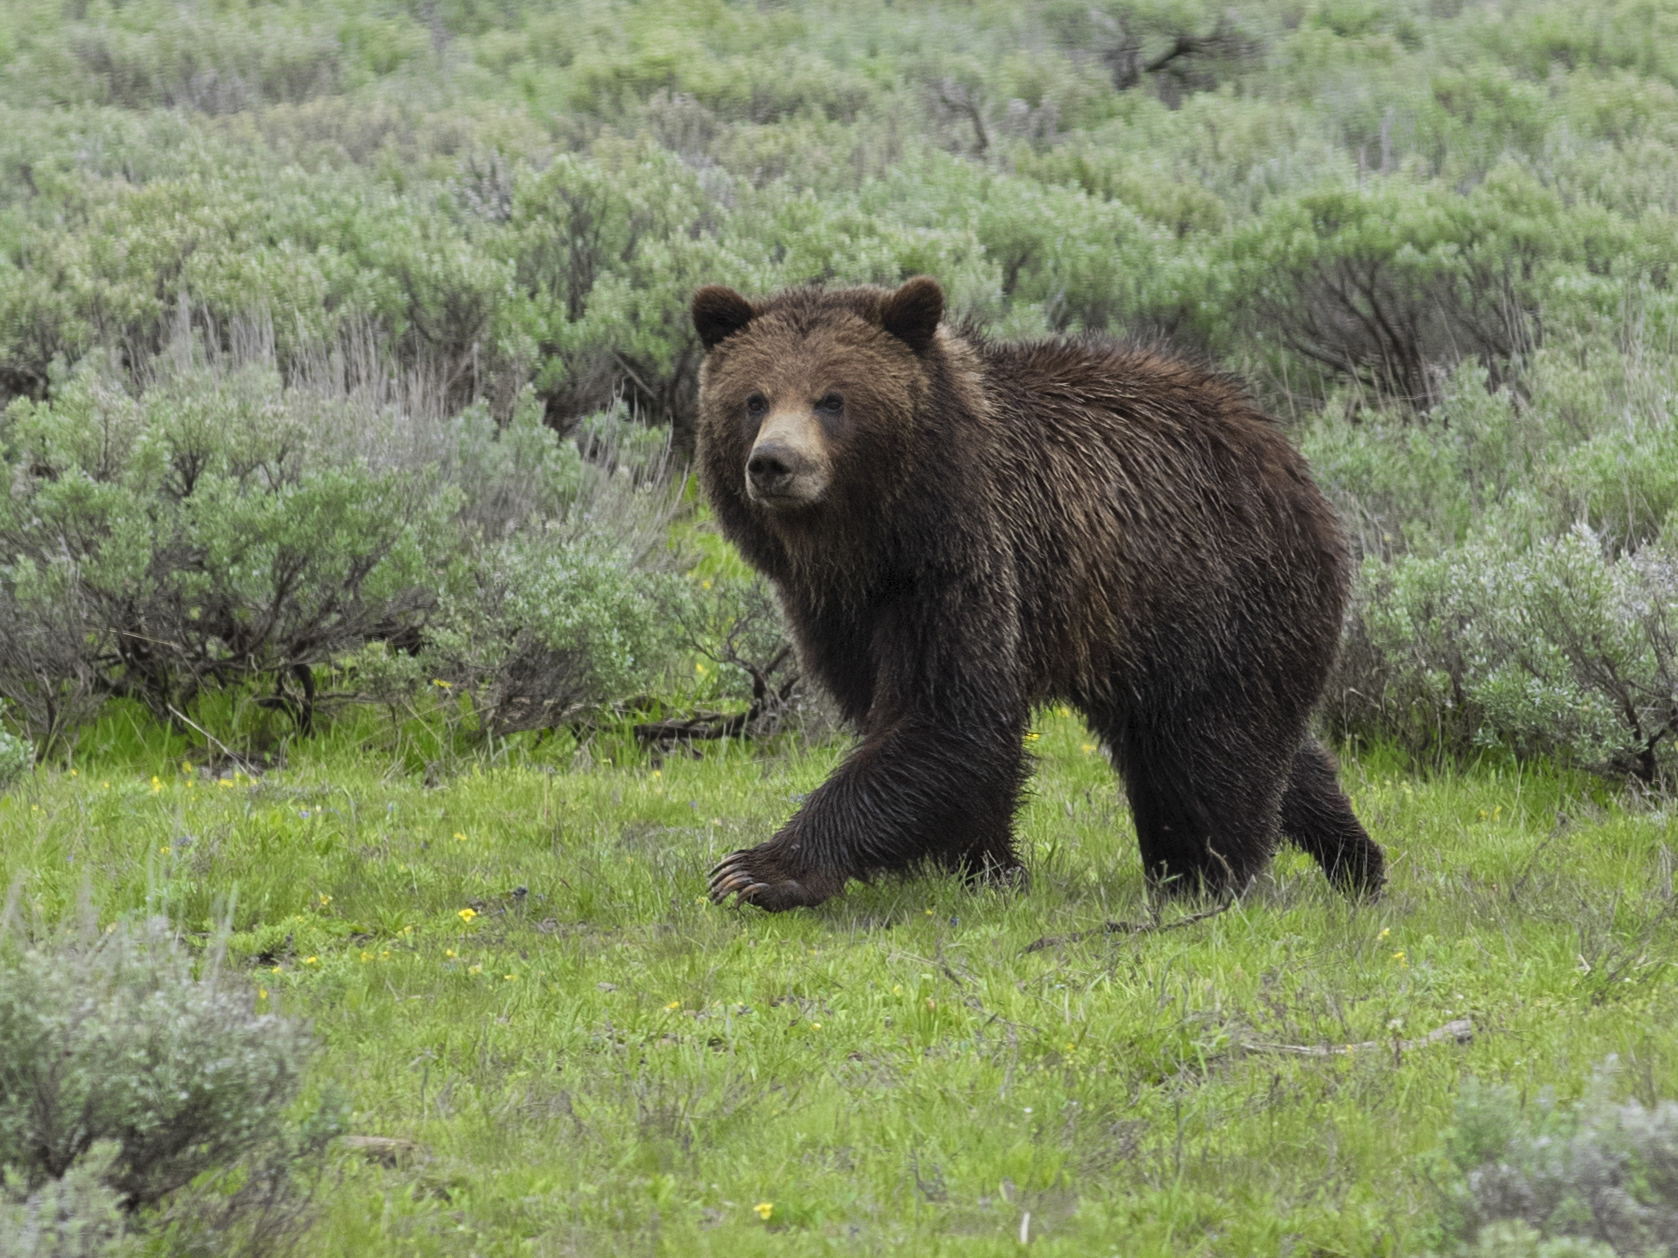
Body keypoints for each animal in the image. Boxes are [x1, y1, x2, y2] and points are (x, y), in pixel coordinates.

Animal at [690, 275, 1384, 911]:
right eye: (754, 399)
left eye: (832, 399)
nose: (774, 463)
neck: (879, 538)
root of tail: (1288, 453)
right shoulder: (842, 610)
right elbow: (906, 721)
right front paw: (986, 866)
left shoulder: (964, 566)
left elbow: (950, 718)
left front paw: (755, 870)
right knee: (1261, 746)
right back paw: (1355, 859)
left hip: (1218, 593)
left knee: (1210, 751)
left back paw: (1204, 878)